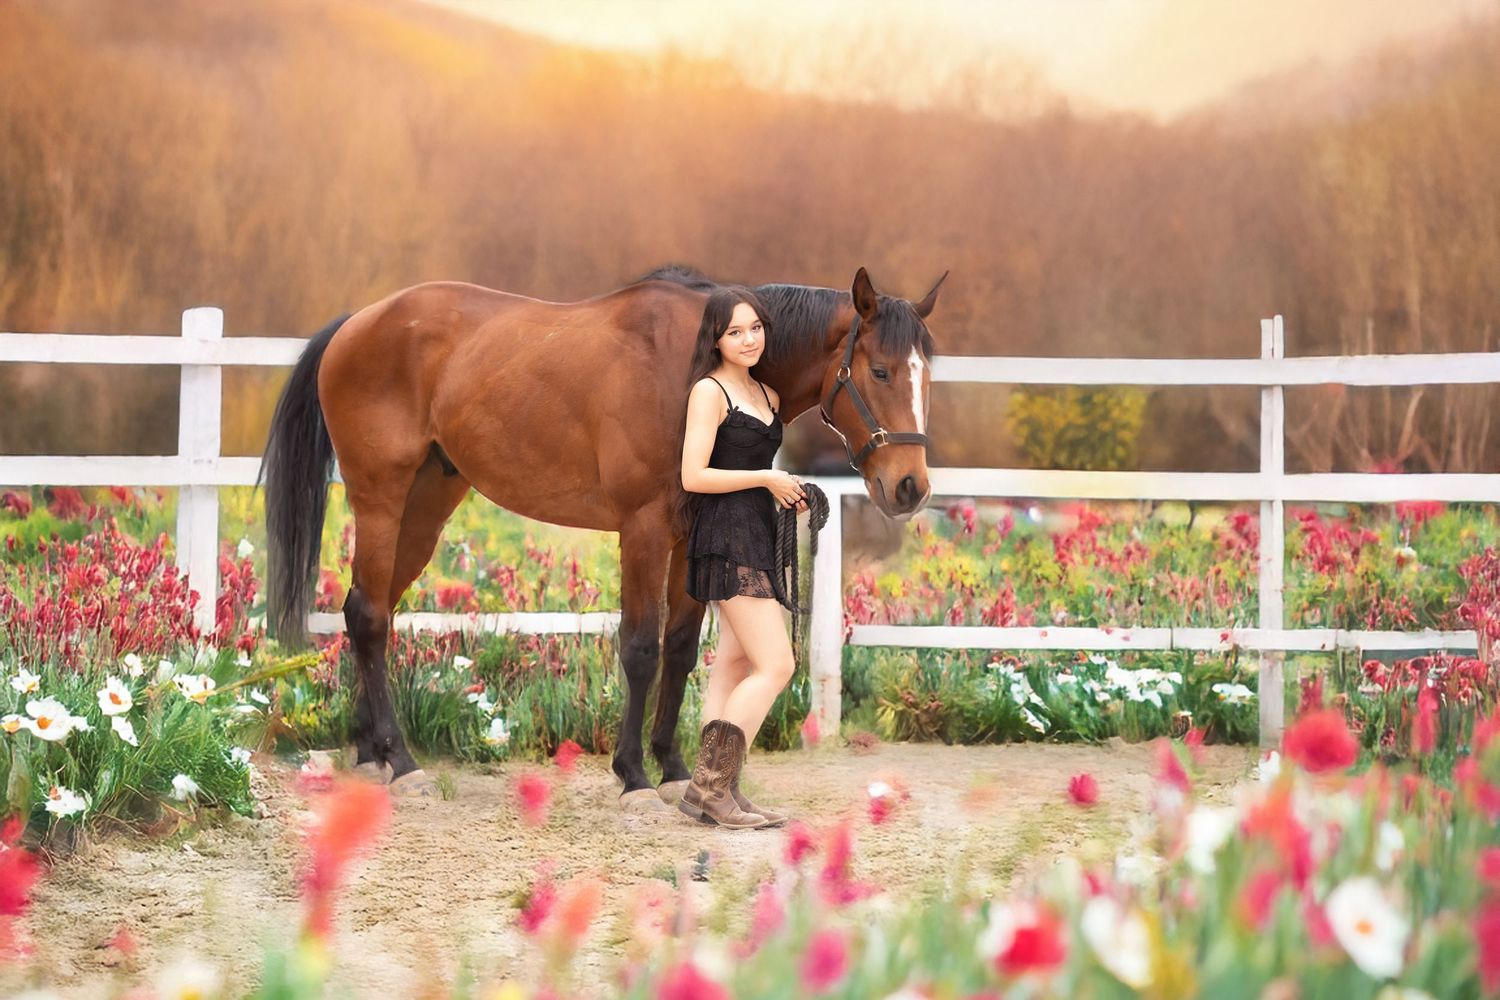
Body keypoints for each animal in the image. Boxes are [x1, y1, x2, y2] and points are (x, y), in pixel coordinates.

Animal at [259, 264, 944, 802]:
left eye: (925, 375)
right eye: (881, 372)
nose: (910, 487)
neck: (692, 366)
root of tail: (359, 322)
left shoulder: (688, 536)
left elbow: (679, 649)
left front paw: (673, 769)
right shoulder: (643, 529)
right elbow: (640, 648)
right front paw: (633, 775)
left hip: (425, 506)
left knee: (365, 609)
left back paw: (369, 751)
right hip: (380, 499)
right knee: (371, 616)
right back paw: (400, 762)